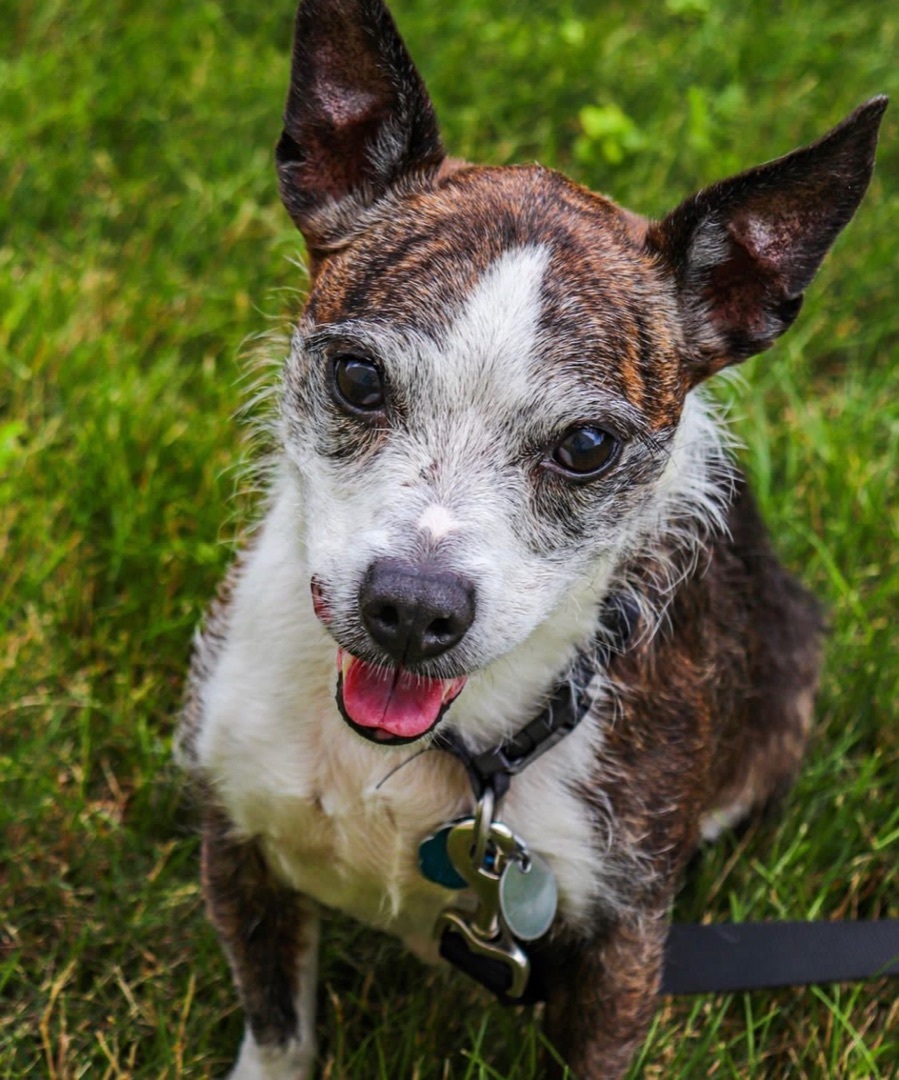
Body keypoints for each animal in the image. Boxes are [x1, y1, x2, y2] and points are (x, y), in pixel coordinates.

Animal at [173, 2, 886, 1071]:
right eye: (356, 378)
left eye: (586, 447)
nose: (411, 608)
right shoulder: (238, 837)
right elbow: (278, 1030)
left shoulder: (622, 950)